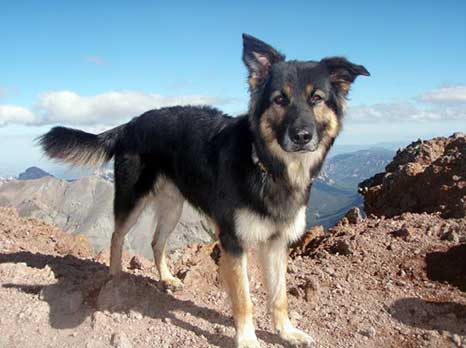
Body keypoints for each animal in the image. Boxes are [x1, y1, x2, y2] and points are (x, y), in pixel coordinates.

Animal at [39, 33, 368, 348]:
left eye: (317, 98)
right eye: (279, 99)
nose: (301, 136)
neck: (266, 165)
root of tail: (131, 123)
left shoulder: (276, 243)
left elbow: (279, 296)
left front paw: (287, 332)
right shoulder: (233, 243)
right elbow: (244, 299)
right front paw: (247, 339)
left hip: (173, 207)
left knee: (156, 242)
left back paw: (167, 278)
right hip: (132, 200)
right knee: (117, 236)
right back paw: (116, 276)